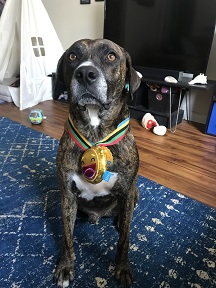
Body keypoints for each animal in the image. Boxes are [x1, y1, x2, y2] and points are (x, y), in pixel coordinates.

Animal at [53, 38, 141, 288]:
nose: (85, 73)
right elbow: (67, 235)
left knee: (126, 216)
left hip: (135, 192)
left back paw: (120, 220)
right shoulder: (67, 194)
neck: (95, 133)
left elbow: (124, 239)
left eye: (111, 56)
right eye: (73, 56)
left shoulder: (128, 191)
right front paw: (66, 266)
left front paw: (122, 268)